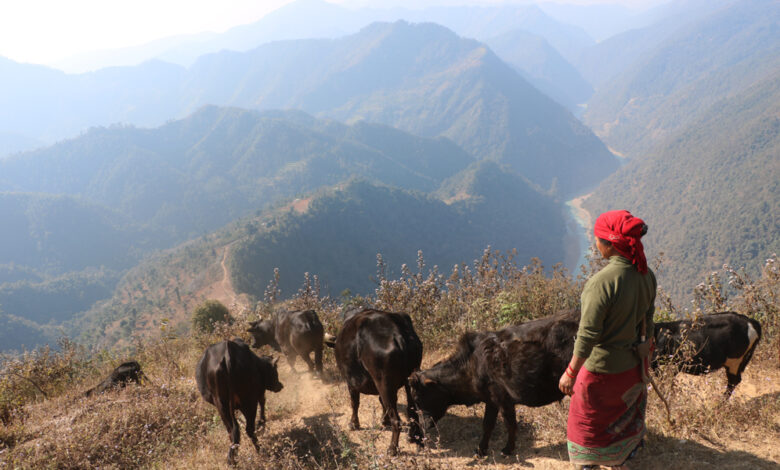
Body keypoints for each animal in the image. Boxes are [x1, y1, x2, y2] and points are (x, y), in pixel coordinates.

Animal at [332, 308, 424, 456]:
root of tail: (397, 333)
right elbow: (381, 402)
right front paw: (384, 421)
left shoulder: (351, 382)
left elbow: (354, 403)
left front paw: (354, 424)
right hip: (409, 380)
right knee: (413, 411)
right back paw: (414, 438)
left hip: (383, 382)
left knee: (397, 420)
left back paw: (392, 448)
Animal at [408, 310, 580, 458]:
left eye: (417, 399)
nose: (419, 430)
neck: (473, 364)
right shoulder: (491, 400)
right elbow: (488, 424)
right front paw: (481, 450)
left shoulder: (503, 398)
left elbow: (510, 424)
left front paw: (507, 450)